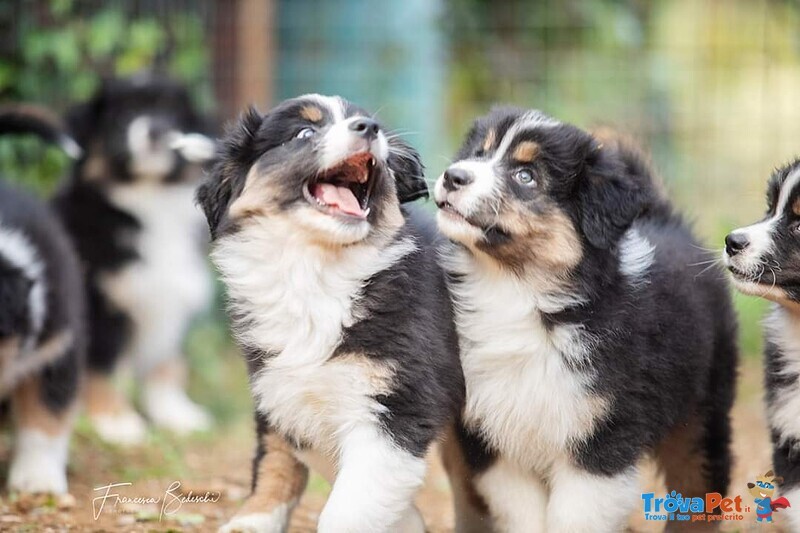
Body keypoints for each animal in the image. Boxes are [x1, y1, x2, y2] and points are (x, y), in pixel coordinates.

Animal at [52, 72, 217, 442]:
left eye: (170, 111)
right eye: (123, 114)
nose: (156, 128)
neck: (148, 197)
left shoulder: (170, 298)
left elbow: (168, 362)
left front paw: (176, 414)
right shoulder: (100, 305)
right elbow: (101, 367)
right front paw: (115, 422)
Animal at [196, 95, 466, 532]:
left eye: (366, 121)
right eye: (305, 132)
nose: (369, 128)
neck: (314, 269)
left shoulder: (397, 404)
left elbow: (350, 502)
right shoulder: (277, 384)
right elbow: (279, 458)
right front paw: (252, 520)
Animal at [438, 109, 736, 532]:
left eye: (526, 176)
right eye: (479, 153)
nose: (453, 176)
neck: (517, 290)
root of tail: (668, 221)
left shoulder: (602, 438)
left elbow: (573, 517)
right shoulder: (492, 440)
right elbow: (525, 514)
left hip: (702, 403)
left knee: (703, 478)